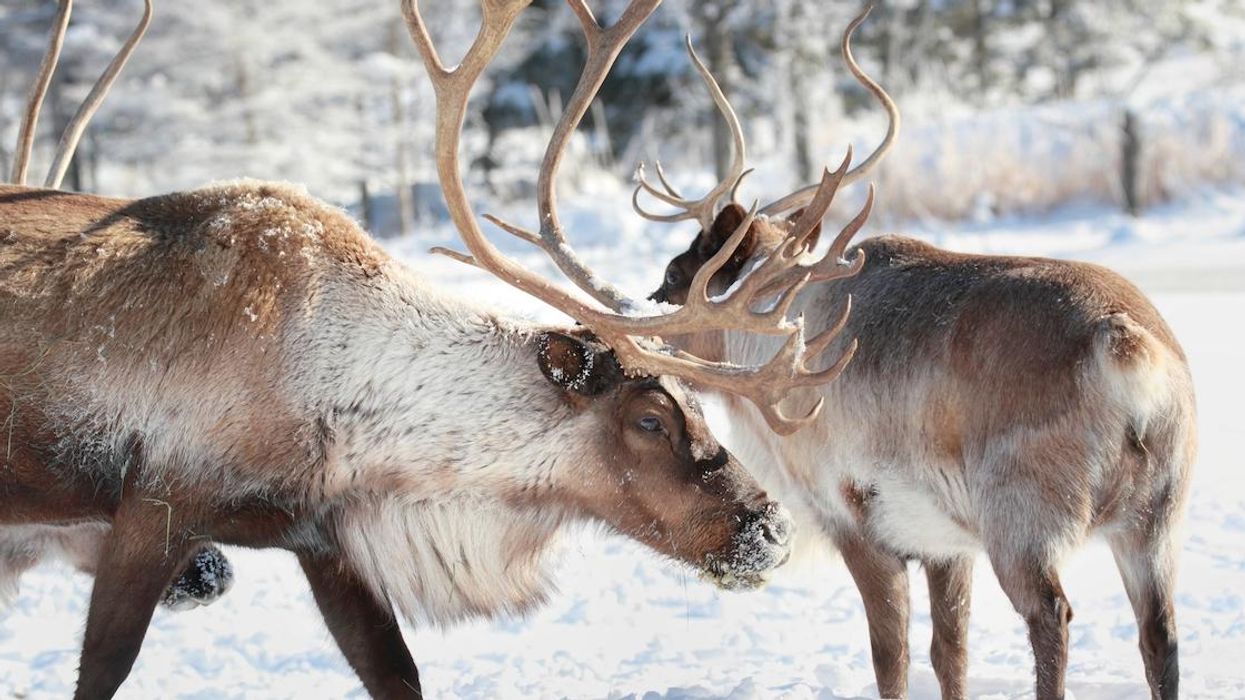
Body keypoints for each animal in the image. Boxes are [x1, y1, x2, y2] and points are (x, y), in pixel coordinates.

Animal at [0, 0, 878, 697]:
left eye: (701, 406)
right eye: (650, 419)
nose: (770, 531)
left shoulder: (323, 538)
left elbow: (396, 672)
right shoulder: (154, 506)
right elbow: (100, 671)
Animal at [643, 9, 1196, 700]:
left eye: (675, 274)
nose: (634, 325)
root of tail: (1125, 345)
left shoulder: (856, 519)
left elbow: (892, 655)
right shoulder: (944, 544)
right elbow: (950, 653)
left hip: (1023, 523)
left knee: (1053, 618)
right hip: (1157, 519)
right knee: (1160, 635)